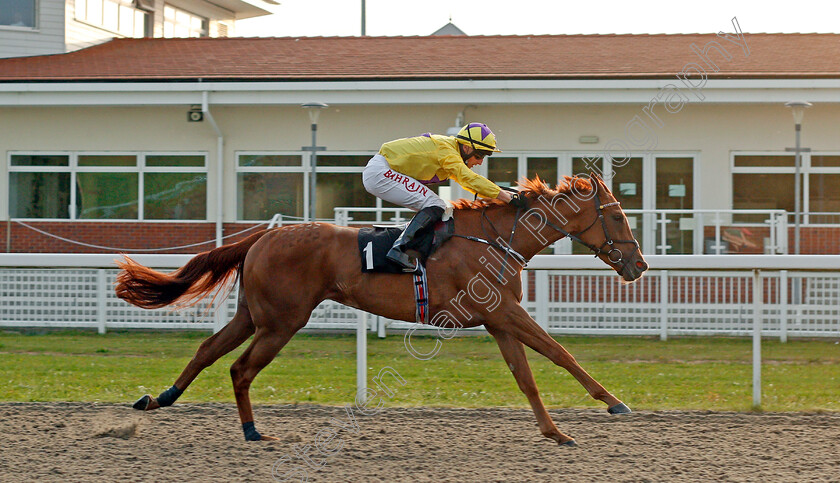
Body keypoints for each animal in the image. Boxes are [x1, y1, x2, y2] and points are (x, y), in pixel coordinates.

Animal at [115, 173, 648, 446]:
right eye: (618, 215)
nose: (639, 264)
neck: (496, 237)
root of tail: (263, 236)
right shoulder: (504, 313)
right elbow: (560, 354)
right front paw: (614, 402)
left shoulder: (498, 320)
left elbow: (527, 377)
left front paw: (554, 432)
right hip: (283, 321)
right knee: (240, 368)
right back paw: (251, 431)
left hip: (254, 314)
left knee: (208, 350)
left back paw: (159, 399)